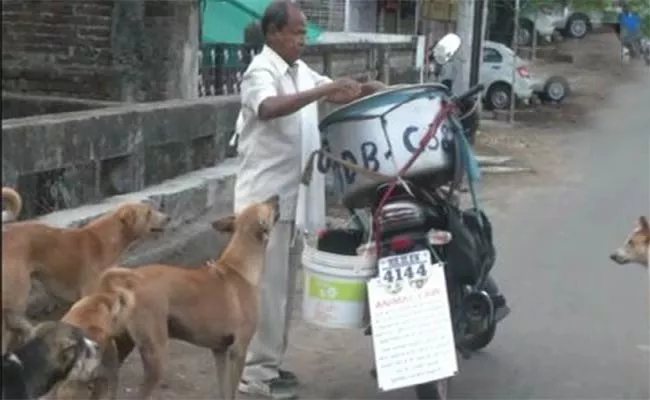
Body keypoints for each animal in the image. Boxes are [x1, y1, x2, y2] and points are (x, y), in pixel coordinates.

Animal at [95, 196, 278, 400]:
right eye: (267, 206)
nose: (276, 197)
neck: (239, 269)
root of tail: (128, 282)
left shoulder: (220, 351)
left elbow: (223, 390)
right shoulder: (238, 350)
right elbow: (231, 392)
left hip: (121, 347)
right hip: (156, 356)